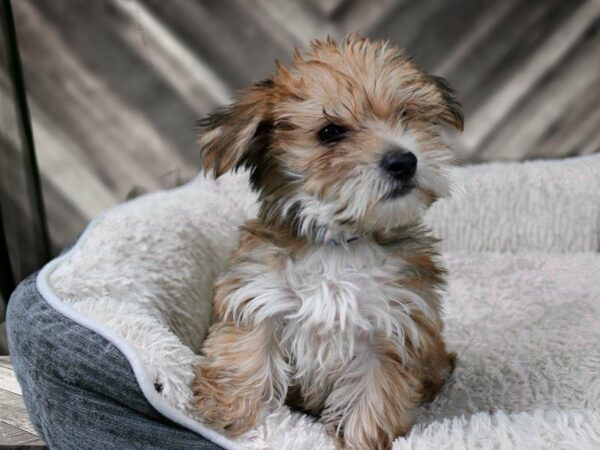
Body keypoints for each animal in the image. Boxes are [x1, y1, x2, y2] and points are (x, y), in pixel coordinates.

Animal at [192, 36, 460, 450]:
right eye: (330, 133)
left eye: (406, 114)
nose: (404, 160)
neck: (340, 243)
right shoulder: (259, 298)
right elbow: (245, 357)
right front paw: (229, 416)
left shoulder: (391, 328)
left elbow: (373, 396)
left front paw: (360, 441)